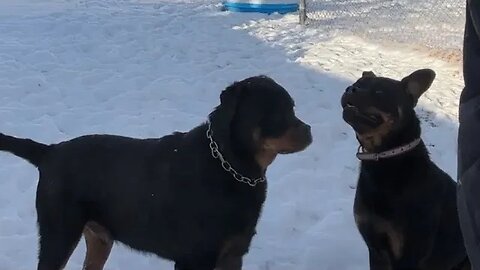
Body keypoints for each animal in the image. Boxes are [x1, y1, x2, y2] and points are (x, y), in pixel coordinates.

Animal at [0, 75, 312, 270]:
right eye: (275, 112)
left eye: (293, 107)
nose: (309, 130)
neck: (232, 168)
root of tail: (50, 152)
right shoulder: (195, 259)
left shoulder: (233, 255)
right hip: (58, 234)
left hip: (99, 238)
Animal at [342, 69, 468, 270]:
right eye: (357, 84)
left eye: (380, 92)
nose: (350, 89)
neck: (385, 158)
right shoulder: (375, 248)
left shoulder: (408, 254)